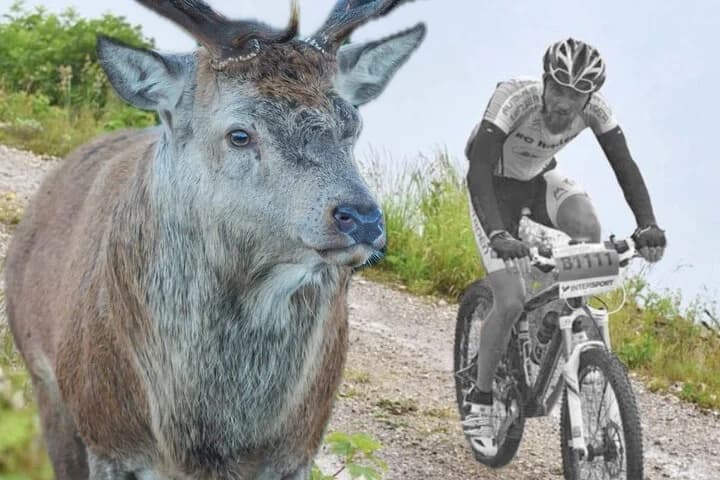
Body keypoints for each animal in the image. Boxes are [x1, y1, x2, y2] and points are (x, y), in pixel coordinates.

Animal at [4, 0, 425, 478]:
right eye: (239, 134)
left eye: (352, 125)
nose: (363, 218)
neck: (207, 446)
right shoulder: (107, 437)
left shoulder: (299, 449)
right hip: (45, 380)